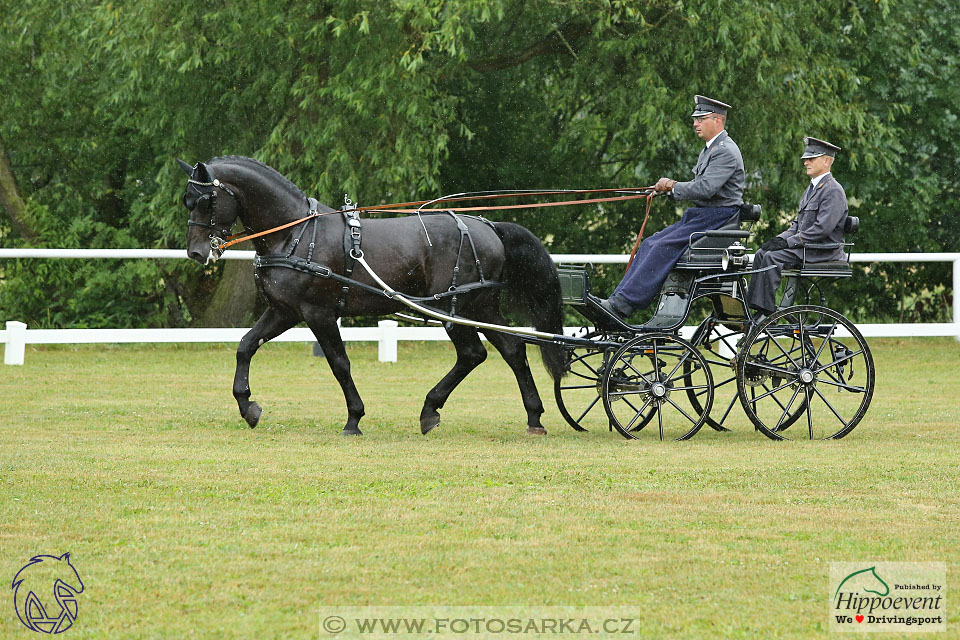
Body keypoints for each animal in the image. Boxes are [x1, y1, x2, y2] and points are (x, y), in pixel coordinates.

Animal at [179, 155, 568, 436]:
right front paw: (248, 407)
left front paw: (354, 419)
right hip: (480, 307)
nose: (196, 252)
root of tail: (488, 226)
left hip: (453, 308)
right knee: (513, 350)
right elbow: (246, 345)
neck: (295, 234)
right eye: (187, 201)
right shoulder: (284, 311)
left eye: (206, 200)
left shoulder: (318, 313)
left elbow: (339, 363)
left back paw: (430, 409)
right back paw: (533, 417)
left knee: (473, 354)